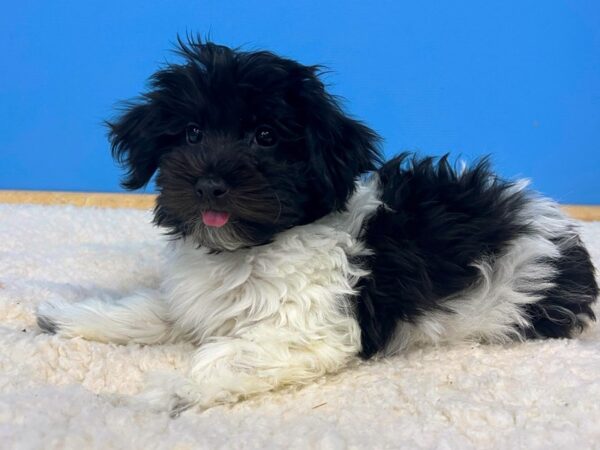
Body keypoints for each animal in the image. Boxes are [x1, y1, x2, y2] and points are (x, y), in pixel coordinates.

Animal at [35, 36, 596, 414]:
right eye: (191, 133)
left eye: (265, 136)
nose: (211, 183)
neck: (251, 249)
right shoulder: (201, 301)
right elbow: (155, 312)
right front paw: (71, 317)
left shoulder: (307, 331)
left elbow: (226, 357)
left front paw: (168, 391)